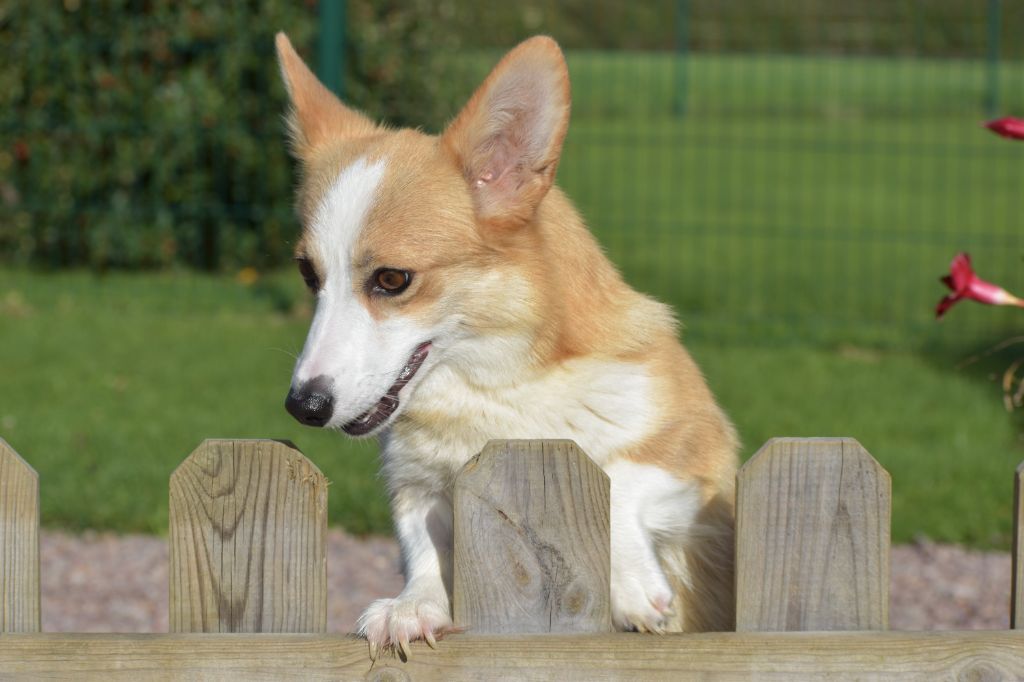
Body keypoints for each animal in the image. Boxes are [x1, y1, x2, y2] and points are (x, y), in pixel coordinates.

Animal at [276, 33, 741, 655]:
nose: (303, 406)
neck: (493, 383)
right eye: (309, 275)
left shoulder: (699, 454)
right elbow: (422, 548)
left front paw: (632, 587)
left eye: (393, 279)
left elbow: (618, 476)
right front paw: (411, 607)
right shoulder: (418, 489)